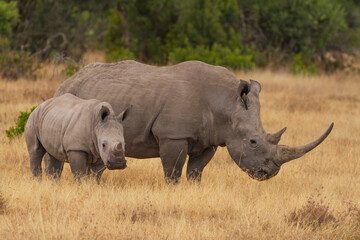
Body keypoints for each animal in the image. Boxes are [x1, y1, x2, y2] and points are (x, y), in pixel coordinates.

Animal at [46, 60, 334, 182]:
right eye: (253, 141)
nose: (269, 173)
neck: (226, 103)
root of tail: (67, 79)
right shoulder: (173, 135)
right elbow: (173, 170)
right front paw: (172, 191)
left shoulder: (209, 139)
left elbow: (196, 171)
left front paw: (193, 188)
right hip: (67, 96)